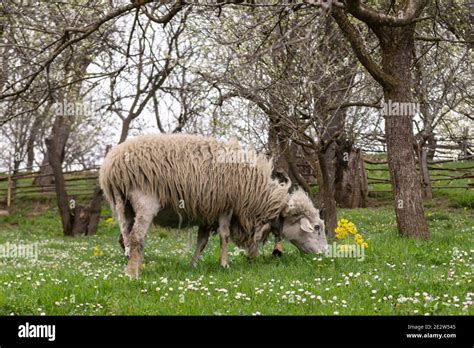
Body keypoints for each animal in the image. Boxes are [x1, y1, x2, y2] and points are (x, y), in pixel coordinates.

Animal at [100, 133, 328, 278]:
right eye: (317, 227)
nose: (325, 255)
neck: (258, 195)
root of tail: (112, 167)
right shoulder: (226, 207)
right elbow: (224, 236)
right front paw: (224, 264)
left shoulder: (207, 212)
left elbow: (202, 241)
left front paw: (192, 265)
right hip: (145, 200)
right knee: (136, 238)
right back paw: (133, 274)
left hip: (123, 206)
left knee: (124, 238)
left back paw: (133, 265)